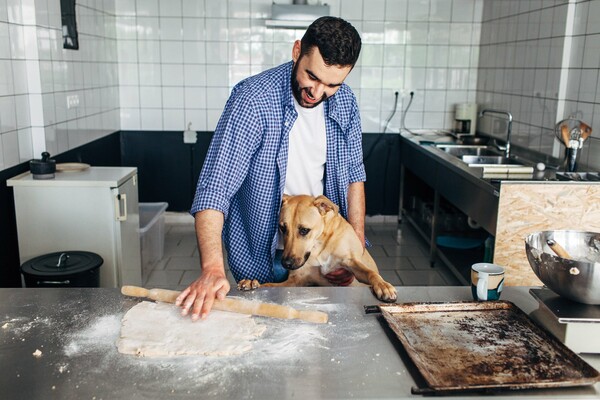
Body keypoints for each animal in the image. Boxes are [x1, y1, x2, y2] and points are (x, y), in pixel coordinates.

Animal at [239, 195, 398, 304]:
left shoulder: (351, 264)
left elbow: (370, 273)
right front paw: (252, 283)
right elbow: (269, 285)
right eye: (282, 228)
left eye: (304, 230)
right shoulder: (296, 280)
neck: (319, 248)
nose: (286, 264)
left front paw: (383, 285)